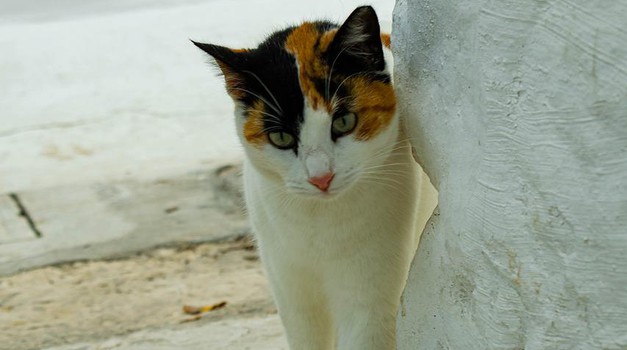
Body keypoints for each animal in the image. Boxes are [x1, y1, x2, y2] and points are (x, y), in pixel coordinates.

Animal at [195, 5, 432, 350]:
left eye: (344, 121)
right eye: (280, 138)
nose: (321, 178)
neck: (318, 225)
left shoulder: (371, 299)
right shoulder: (292, 292)